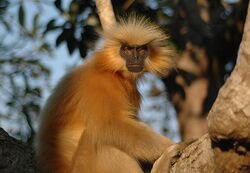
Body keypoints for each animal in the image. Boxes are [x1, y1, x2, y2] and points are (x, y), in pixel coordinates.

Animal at [37, 15, 177, 173]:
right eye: (127, 49)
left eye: (141, 50)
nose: (135, 58)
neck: (114, 72)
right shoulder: (99, 83)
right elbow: (111, 124)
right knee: (101, 136)